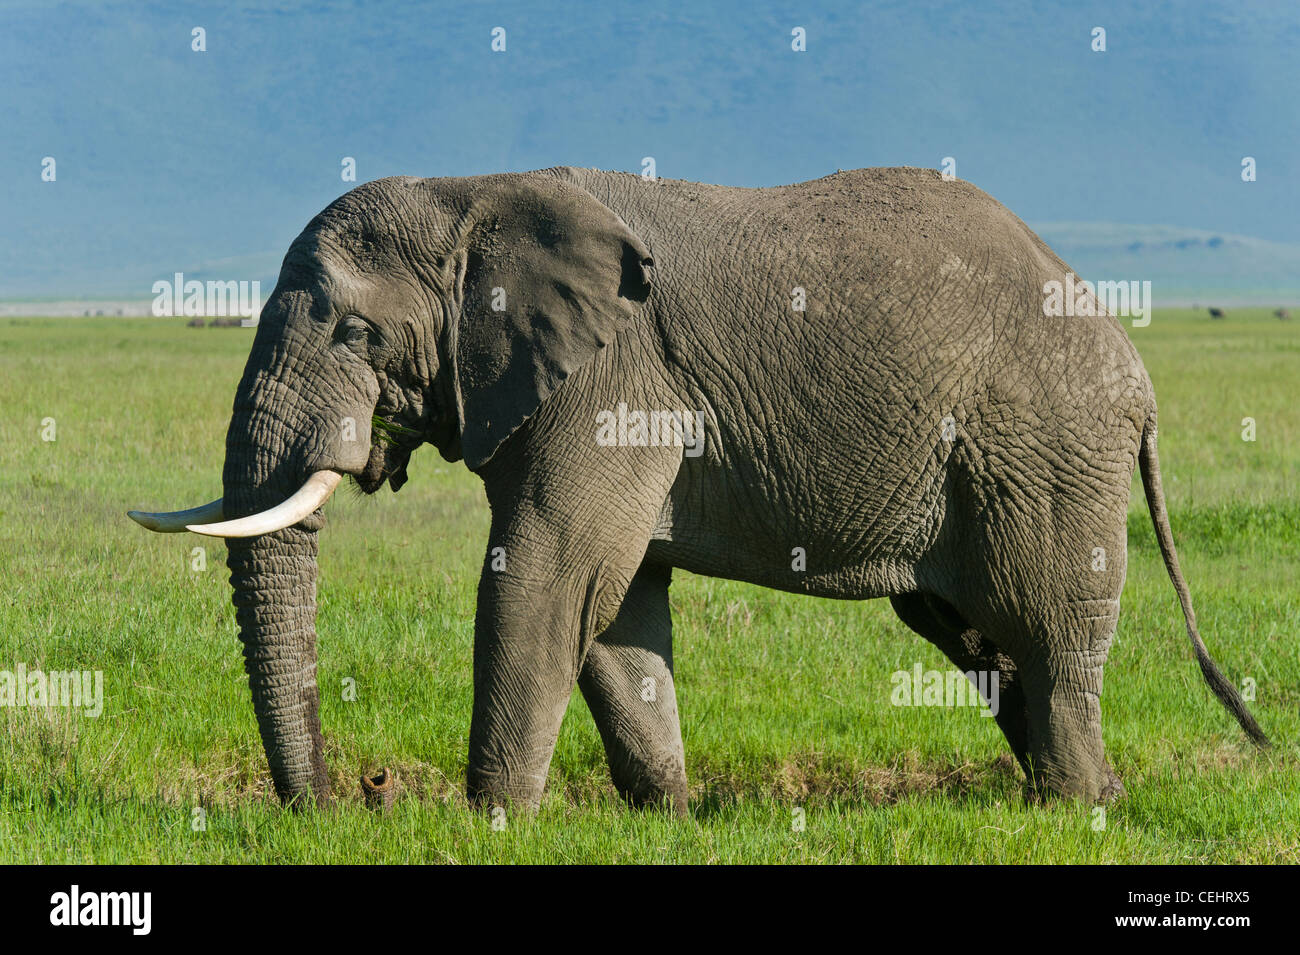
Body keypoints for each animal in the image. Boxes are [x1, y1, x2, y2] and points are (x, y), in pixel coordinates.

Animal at [129, 166, 1268, 812]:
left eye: (357, 332)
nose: (340, 802)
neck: (471, 194)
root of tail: (1134, 368)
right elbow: (614, 607)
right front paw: (668, 816)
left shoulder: (614, 380)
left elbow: (543, 574)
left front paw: (487, 822)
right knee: (982, 638)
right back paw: (1078, 795)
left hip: (1043, 451)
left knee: (1044, 627)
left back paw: (1075, 808)